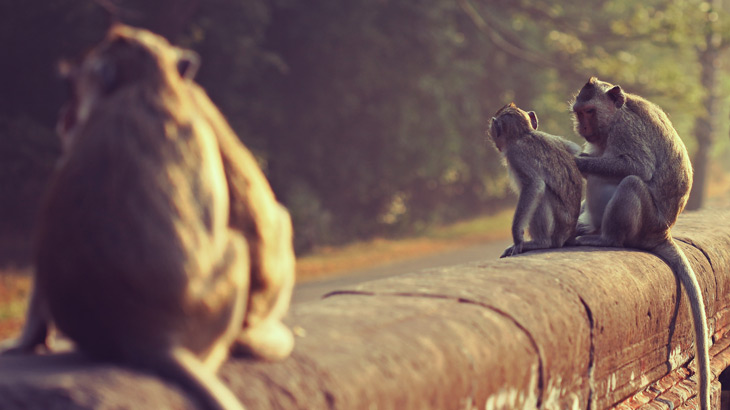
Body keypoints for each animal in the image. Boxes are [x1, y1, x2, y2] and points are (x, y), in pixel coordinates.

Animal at [486, 102, 584, 258]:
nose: (497, 145)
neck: (524, 133)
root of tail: (569, 235)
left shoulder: (515, 154)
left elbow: (534, 185)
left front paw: (517, 239)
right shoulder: (554, 138)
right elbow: (575, 150)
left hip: (559, 228)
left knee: (541, 196)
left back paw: (541, 242)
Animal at [568, 77, 704, 410]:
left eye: (590, 111)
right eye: (579, 111)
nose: (583, 127)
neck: (617, 113)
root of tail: (662, 232)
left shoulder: (626, 131)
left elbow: (638, 167)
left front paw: (576, 160)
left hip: (645, 221)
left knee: (631, 182)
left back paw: (604, 238)